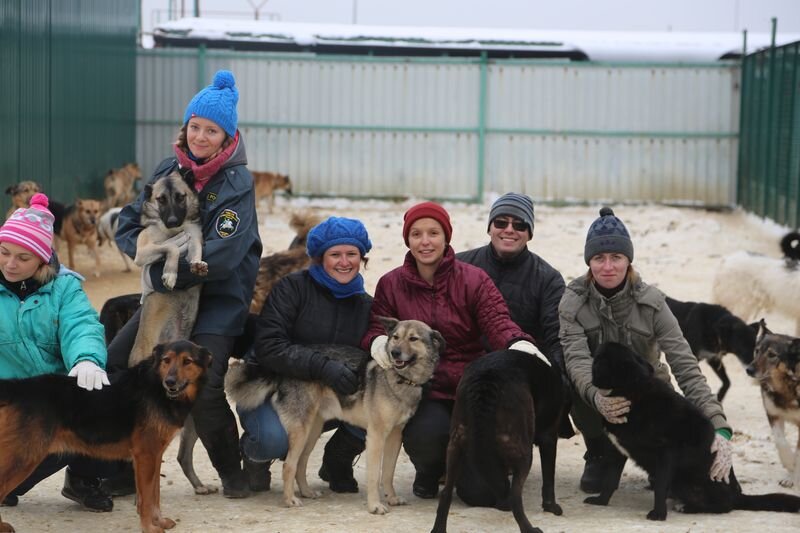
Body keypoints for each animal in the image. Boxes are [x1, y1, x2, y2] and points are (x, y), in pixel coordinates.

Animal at [0, 340, 209, 532]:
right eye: (166, 360)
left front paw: (159, 522)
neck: (156, 387)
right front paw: (149, 527)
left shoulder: (154, 456)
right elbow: (147, 499)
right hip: (24, 457)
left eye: (187, 361)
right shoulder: (145, 456)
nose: (170, 382)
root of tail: (21, 388)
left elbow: (154, 495)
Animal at [227, 318, 444, 512]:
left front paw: (392, 498)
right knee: (289, 465)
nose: (394, 352)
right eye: (396, 337)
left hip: (312, 432)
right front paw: (374, 506)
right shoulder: (376, 436)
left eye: (413, 339)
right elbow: (375, 476)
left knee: (301, 463)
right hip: (301, 430)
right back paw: (290, 500)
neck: (401, 380)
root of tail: (283, 371)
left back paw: (306, 492)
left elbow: (388, 473)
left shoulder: (395, 436)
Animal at [432, 350, 564, 532]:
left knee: (446, 494)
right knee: (515, 497)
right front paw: (551, 507)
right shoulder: (549, 438)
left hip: (455, 447)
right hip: (522, 451)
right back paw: (529, 528)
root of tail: (487, 378)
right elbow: (549, 479)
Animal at [584, 340, 800, 520]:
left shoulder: (666, 453)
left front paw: (658, 514)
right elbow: (610, 481)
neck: (633, 390)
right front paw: (601, 501)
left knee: (725, 507)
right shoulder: (617, 451)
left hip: (684, 480)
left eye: (600, 358)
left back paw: (688, 507)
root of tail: (737, 494)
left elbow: (660, 488)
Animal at [748, 320, 800, 490]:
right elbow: (780, 442)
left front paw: (793, 477)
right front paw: (789, 463)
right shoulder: (773, 415)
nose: (748, 370)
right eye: (757, 351)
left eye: (772, 355)